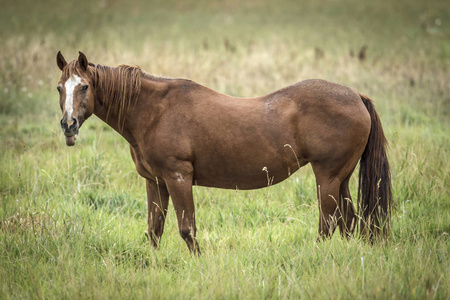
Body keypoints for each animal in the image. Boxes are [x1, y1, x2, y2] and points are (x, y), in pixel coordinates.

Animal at [57, 51, 394, 253]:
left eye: (84, 86)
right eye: (60, 87)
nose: (68, 125)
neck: (154, 110)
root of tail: (357, 96)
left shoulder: (178, 177)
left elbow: (187, 229)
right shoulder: (155, 182)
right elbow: (154, 230)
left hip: (327, 176)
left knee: (329, 222)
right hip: (341, 178)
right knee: (348, 221)